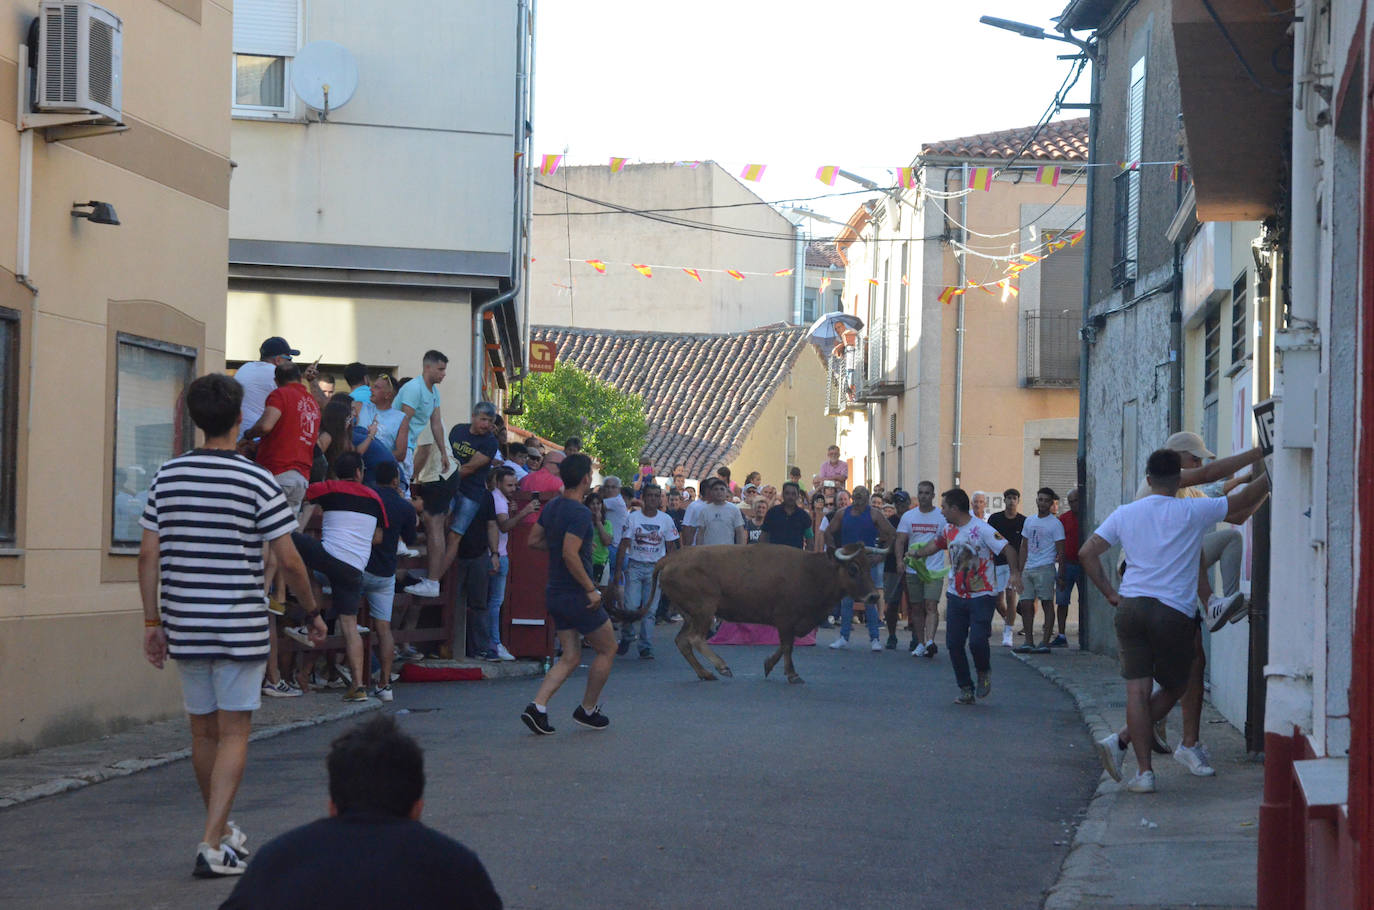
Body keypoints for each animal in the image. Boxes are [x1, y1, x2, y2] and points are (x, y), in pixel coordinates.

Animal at [651, 541, 884, 684]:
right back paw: (722, 666)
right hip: (704, 610)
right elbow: (788, 646)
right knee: (695, 639)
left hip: (690, 615)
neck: (812, 571)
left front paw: (768, 665)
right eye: (853, 569)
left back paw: (705, 673)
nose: (874, 596)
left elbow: (785, 645)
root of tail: (672, 558)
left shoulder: (791, 623)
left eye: (868, 566)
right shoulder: (786, 619)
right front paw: (792, 674)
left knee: (682, 641)